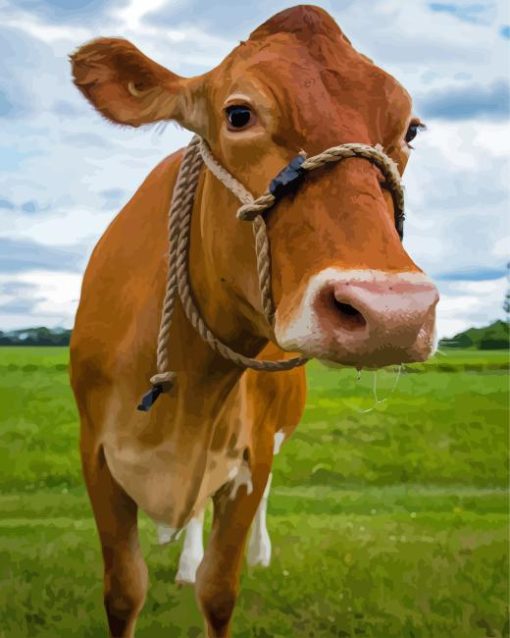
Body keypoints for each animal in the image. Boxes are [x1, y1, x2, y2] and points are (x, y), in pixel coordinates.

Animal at [70, 6, 438, 638]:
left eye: (410, 130)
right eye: (238, 114)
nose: (394, 312)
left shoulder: (251, 457)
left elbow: (220, 589)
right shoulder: (96, 455)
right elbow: (123, 592)